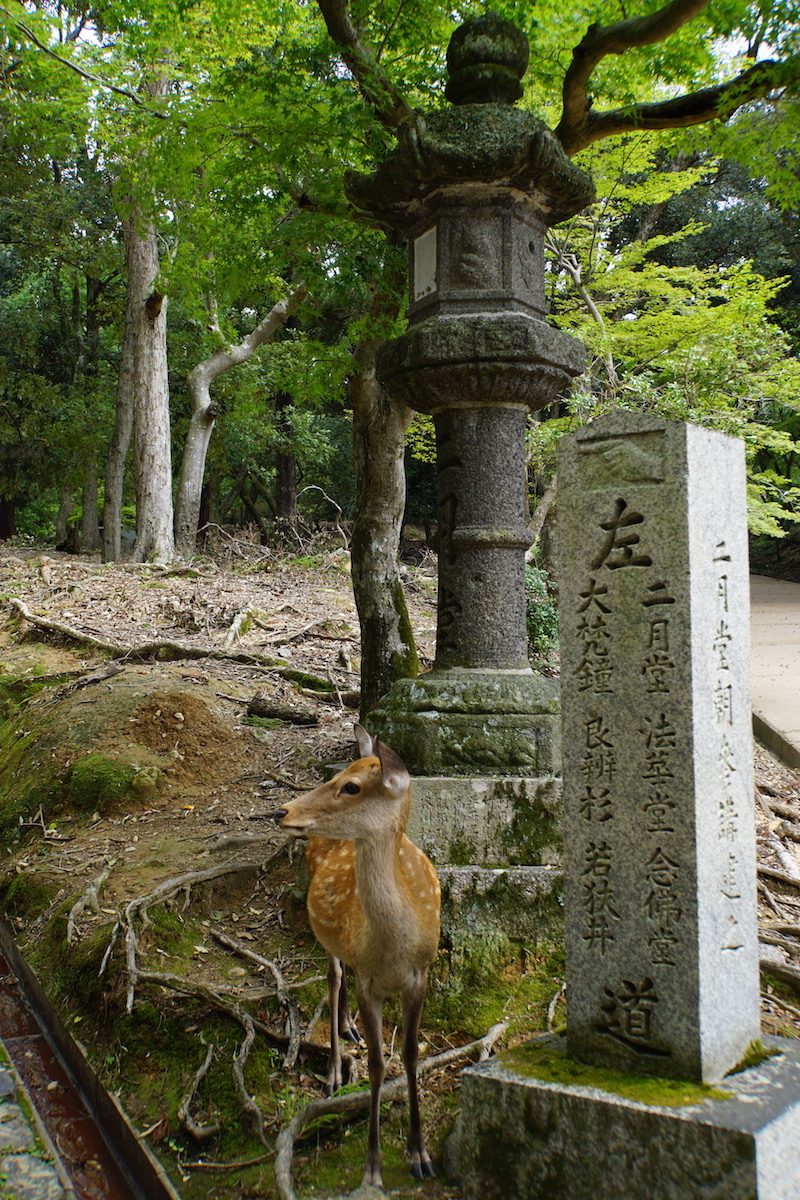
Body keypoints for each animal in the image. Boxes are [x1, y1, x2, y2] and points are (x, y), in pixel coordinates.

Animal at [272, 724, 441, 1189]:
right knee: (333, 976)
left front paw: (421, 1154)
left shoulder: (421, 974)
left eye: (352, 786)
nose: (282, 811)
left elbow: (410, 1054)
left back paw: (348, 1028)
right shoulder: (370, 982)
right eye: (339, 774)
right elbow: (380, 1064)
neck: (393, 949)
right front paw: (372, 1167)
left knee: (340, 973)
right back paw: (333, 1069)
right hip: (323, 933)